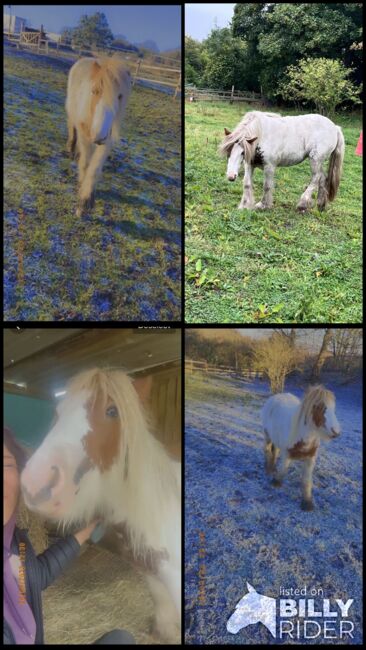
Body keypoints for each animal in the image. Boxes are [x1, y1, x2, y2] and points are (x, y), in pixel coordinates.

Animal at [66, 55, 132, 215]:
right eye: (95, 91)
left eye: (120, 96)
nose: (98, 135)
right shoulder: (85, 135)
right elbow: (85, 163)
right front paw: (81, 187)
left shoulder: (107, 140)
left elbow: (94, 168)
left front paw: (86, 199)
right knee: (72, 128)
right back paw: (71, 149)